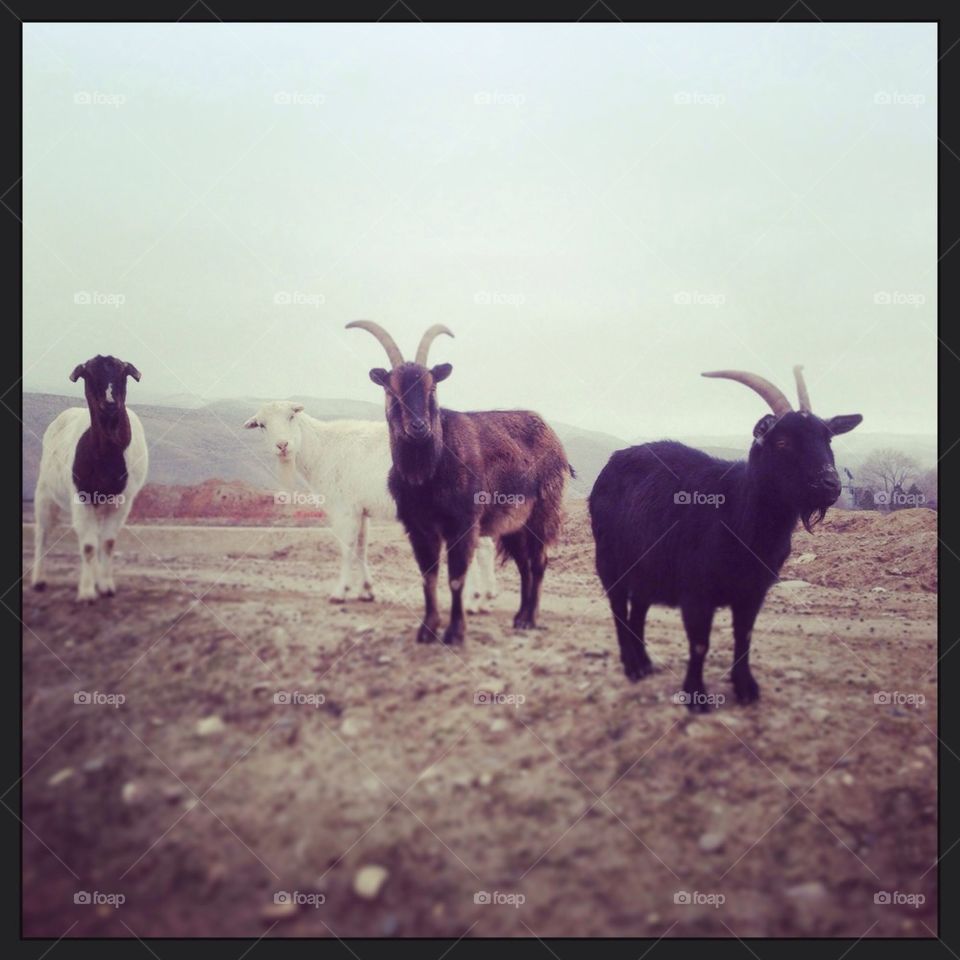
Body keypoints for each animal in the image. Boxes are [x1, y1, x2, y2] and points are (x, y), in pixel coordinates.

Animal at [31, 355, 148, 603]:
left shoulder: (122, 501)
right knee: (42, 534)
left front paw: (105, 586)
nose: (110, 403)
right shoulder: (81, 496)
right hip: (44, 492)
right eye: (90, 374)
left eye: (123, 373)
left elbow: (107, 542)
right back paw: (38, 580)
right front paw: (86, 592)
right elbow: (87, 546)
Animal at [243, 401, 498, 610]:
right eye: (262, 425)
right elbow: (361, 547)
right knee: (485, 548)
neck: (321, 448)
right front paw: (365, 591)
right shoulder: (360, 510)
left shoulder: (344, 509)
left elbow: (346, 548)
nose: (282, 445)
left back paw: (473, 600)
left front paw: (340, 592)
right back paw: (483, 599)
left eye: (291, 417)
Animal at [347, 320, 571, 645]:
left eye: (432, 387)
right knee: (524, 567)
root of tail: (554, 439)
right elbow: (428, 577)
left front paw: (455, 632)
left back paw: (530, 619)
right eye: (392, 390)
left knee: (539, 563)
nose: (419, 427)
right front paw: (427, 629)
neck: (429, 470)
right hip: (513, 525)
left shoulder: (463, 523)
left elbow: (455, 578)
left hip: (542, 512)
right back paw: (519, 617)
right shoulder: (418, 527)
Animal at [588, 366, 862, 711]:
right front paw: (696, 696)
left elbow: (743, 636)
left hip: (647, 571)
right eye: (782, 441)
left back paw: (645, 664)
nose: (830, 484)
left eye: (827, 438)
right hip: (609, 562)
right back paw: (633, 667)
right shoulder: (695, 592)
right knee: (618, 611)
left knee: (638, 611)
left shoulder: (754, 591)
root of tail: (612, 462)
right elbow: (699, 644)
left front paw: (746, 688)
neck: (738, 512)